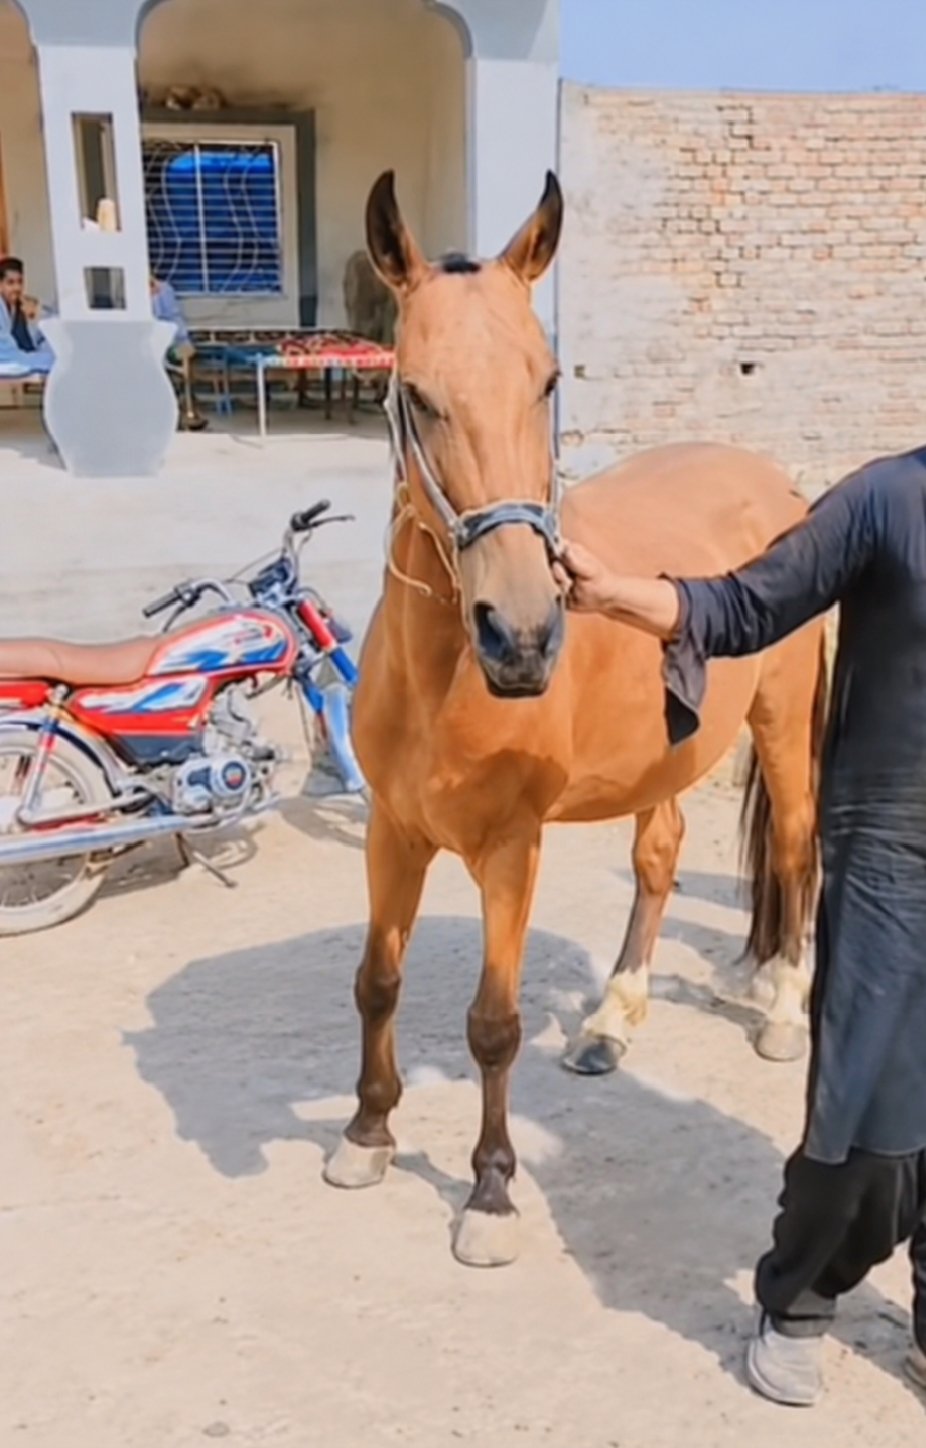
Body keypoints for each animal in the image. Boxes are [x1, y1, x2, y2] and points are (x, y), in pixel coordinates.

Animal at [323, 170, 826, 1268]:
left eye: (547, 382)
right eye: (414, 392)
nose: (520, 632)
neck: (443, 680)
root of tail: (776, 482)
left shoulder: (511, 848)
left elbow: (493, 1023)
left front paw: (490, 1194)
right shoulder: (391, 832)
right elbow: (376, 980)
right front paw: (367, 1133)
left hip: (782, 728)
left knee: (798, 853)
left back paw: (782, 1011)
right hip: (666, 754)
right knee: (659, 856)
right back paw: (611, 1020)